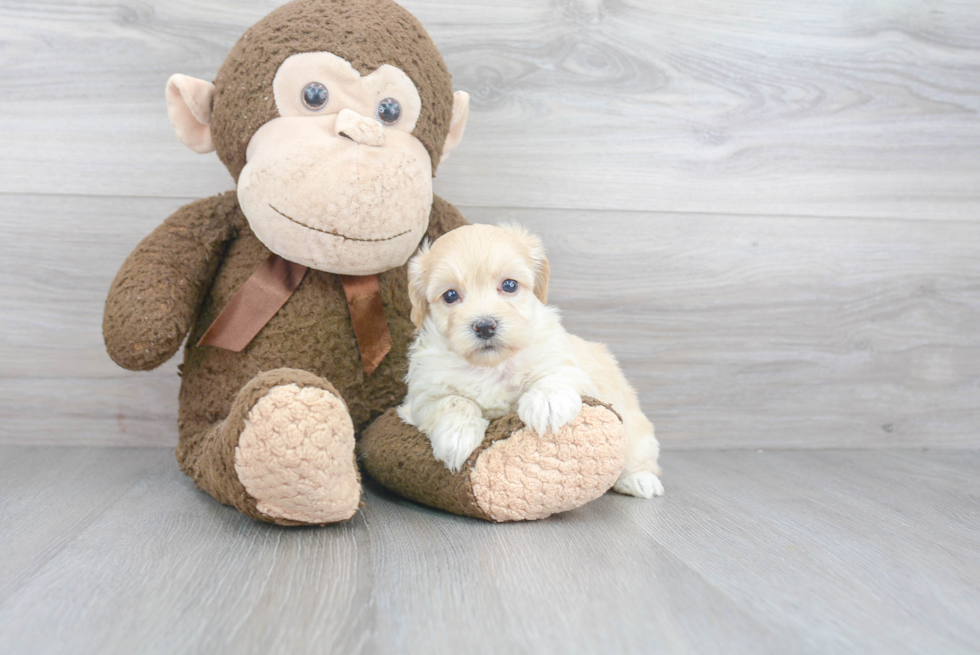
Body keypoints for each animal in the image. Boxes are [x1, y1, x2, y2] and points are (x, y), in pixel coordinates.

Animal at [398, 223, 668, 500]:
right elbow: (451, 402)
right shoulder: (423, 396)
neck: (492, 366)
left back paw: (640, 480)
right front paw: (457, 436)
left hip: (634, 427)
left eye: (509, 285)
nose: (485, 326)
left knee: (640, 455)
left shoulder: (565, 362)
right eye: (450, 295)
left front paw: (546, 405)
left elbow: (554, 375)